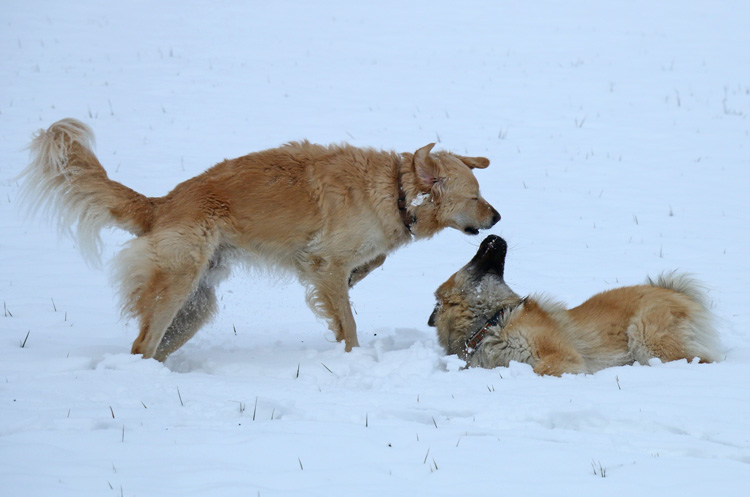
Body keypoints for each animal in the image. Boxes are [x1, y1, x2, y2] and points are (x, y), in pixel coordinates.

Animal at [19, 120, 500, 360]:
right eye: (475, 197)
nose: (498, 217)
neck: (394, 189)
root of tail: (160, 205)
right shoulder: (326, 261)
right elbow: (347, 320)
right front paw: (353, 358)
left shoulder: (333, 262)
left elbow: (367, 268)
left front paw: (359, 279)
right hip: (177, 282)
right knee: (143, 344)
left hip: (195, 304)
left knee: (150, 347)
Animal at [428, 234, 724, 374]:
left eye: (473, 256)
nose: (492, 236)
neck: (490, 324)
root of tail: (673, 291)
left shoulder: (560, 354)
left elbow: (542, 369)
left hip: (647, 339)